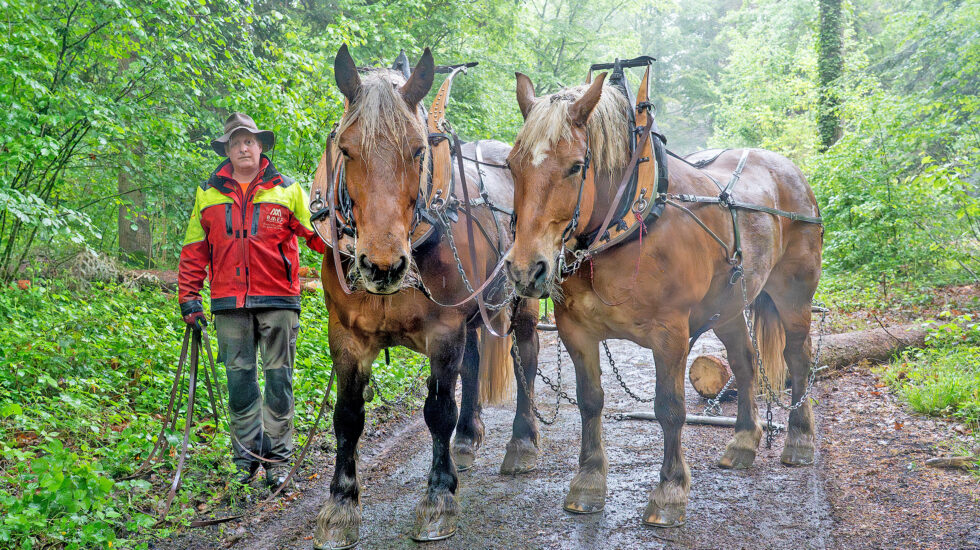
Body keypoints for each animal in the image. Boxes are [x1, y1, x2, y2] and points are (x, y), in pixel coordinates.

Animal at [310, 46, 542, 548]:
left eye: (418, 150)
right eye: (345, 149)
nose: (382, 266)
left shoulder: (443, 330)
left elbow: (437, 411)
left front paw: (438, 499)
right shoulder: (346, 336)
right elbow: (347, 417)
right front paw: (340, 508)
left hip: (523, 295)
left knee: (527, 357)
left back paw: (523, 442)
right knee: (474, 363)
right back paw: (467, 438)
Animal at [503, 70, 823, 527]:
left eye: (576, 166)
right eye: (511, 165)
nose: (525, 269)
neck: (624, 223)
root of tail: (791, 171)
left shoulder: (670, 334)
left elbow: (670, 408)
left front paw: (670, 490)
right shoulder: (576, 332)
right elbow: (590, 402)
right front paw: (588, 481)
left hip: (793, 296)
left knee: (798, 357)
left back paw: (799, 438)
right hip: (727, 306)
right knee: (744, 363)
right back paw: (744, 441)